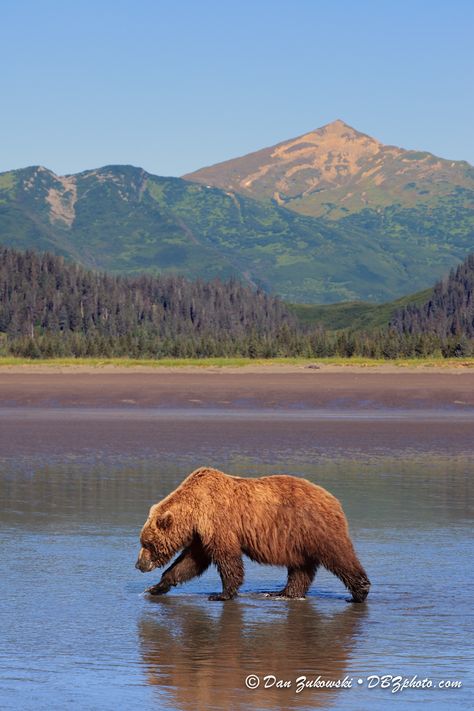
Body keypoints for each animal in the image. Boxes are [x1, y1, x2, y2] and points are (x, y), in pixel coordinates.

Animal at [134, 470, 370, 604]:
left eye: (147, 543)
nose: (139, 565)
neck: (194, 510)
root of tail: (332, 499)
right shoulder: (201, 534)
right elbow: (190, 562)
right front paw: (155, 587)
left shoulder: (219, 522)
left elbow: (226, 558)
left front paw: (221, 594)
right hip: (297, 539)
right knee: (301, 567)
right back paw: (284, 593)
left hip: (314, 527)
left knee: (338, 555)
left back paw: (359, 592)